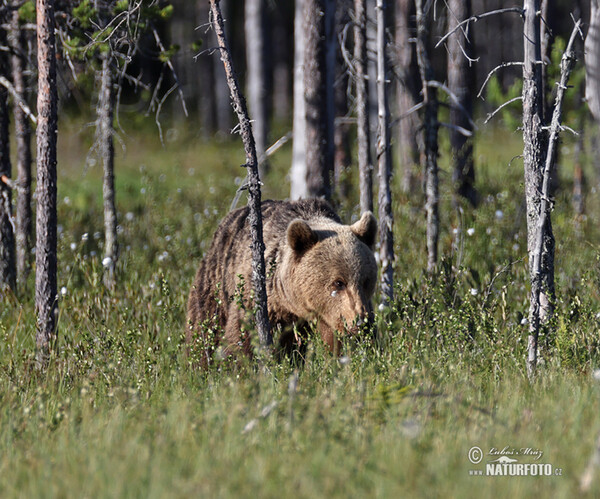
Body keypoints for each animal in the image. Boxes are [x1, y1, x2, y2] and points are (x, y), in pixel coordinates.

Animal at [185, 197, 378, 366]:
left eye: (366, 280)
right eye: (339, 282)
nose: (361, 322)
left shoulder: (331, 314)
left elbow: (337, 342)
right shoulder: (261, 300)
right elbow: (242, 337)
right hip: (215, 283)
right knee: (205, 327)